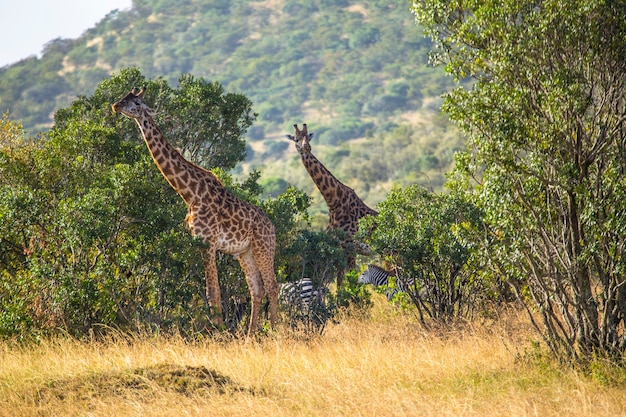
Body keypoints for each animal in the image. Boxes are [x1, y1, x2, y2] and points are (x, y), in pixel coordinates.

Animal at [111, 86, 276, 336]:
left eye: (137, 103)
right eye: (124, 97)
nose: (116, 106)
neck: (189, 193)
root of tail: (273, 228)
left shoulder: (208, 242)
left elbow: (212, 292)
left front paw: (218, 333)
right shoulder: (199, 243)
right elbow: (211, 293)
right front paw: (219, 331)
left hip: (263, 248)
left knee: (273, 287)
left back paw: (278, 331)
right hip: (245, 253)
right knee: (257, 289)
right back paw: (250, 336)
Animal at [284, 124, 376, 286]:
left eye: (308, 137)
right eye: (296, 139)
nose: (306, 147)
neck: (334, 203)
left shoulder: (350, 246)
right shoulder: (340, 249)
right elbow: (340, 283)